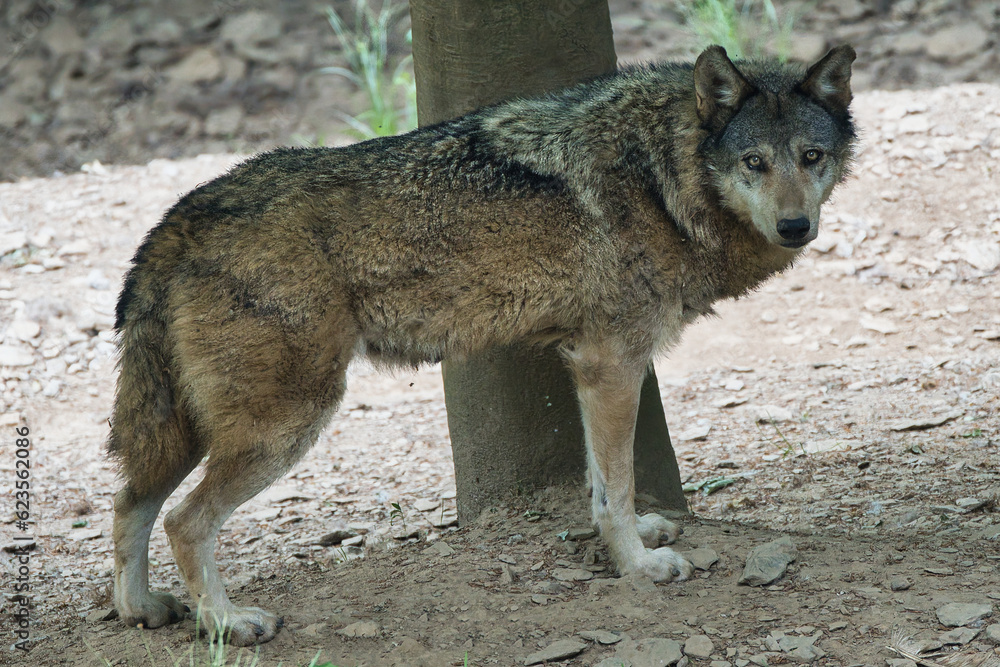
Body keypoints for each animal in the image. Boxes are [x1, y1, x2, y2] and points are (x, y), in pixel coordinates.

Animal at [109, 44, 857, 645]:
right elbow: (616, 485)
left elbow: (599, 485)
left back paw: (141, 609)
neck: (659, 174)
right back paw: (227, 623)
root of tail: (176, 221)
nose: (795, 226)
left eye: (810, 158)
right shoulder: (613, 363)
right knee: (183, 520)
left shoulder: (589, 366)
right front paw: (638, 566)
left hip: (195, 428)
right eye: (754, 163)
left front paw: (633, 541)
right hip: (284, 426)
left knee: (130, 504)